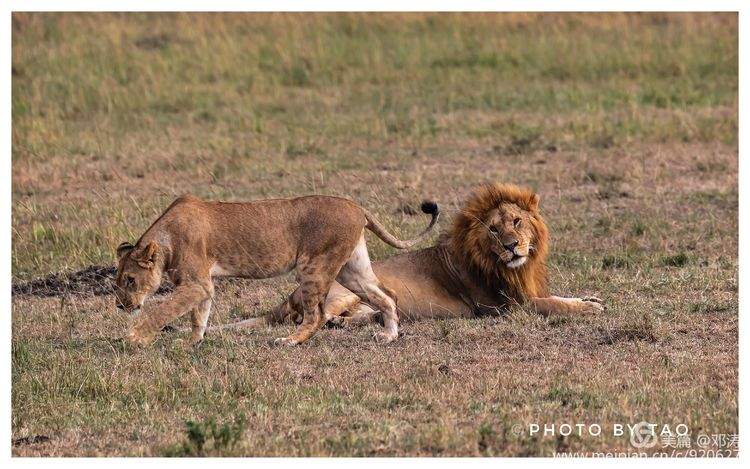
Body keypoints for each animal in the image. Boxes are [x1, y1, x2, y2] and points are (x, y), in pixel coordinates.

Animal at [113, 192, 440, 346]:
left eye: (129, 280)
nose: (120, 305)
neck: (166, 239)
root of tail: (357, 207)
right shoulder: (203, 284)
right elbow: (199, 316)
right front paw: (193, 343)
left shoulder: (195, 283)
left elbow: (162, 311)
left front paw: (136, 338)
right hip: (351, 269)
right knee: (387, 295)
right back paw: (389, 336)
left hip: (313, 266)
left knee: (317, 315)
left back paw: (289, 341)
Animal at [222, 181, 604, 330]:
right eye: (494, 230)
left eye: (516, 222)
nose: (512, 246)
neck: (508, 267)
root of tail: (286, 297)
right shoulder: (504, 306)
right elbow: (550, 304)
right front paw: (588, 308)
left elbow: (559, 296)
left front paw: (590, 298)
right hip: (340, 289)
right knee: (314, 317)